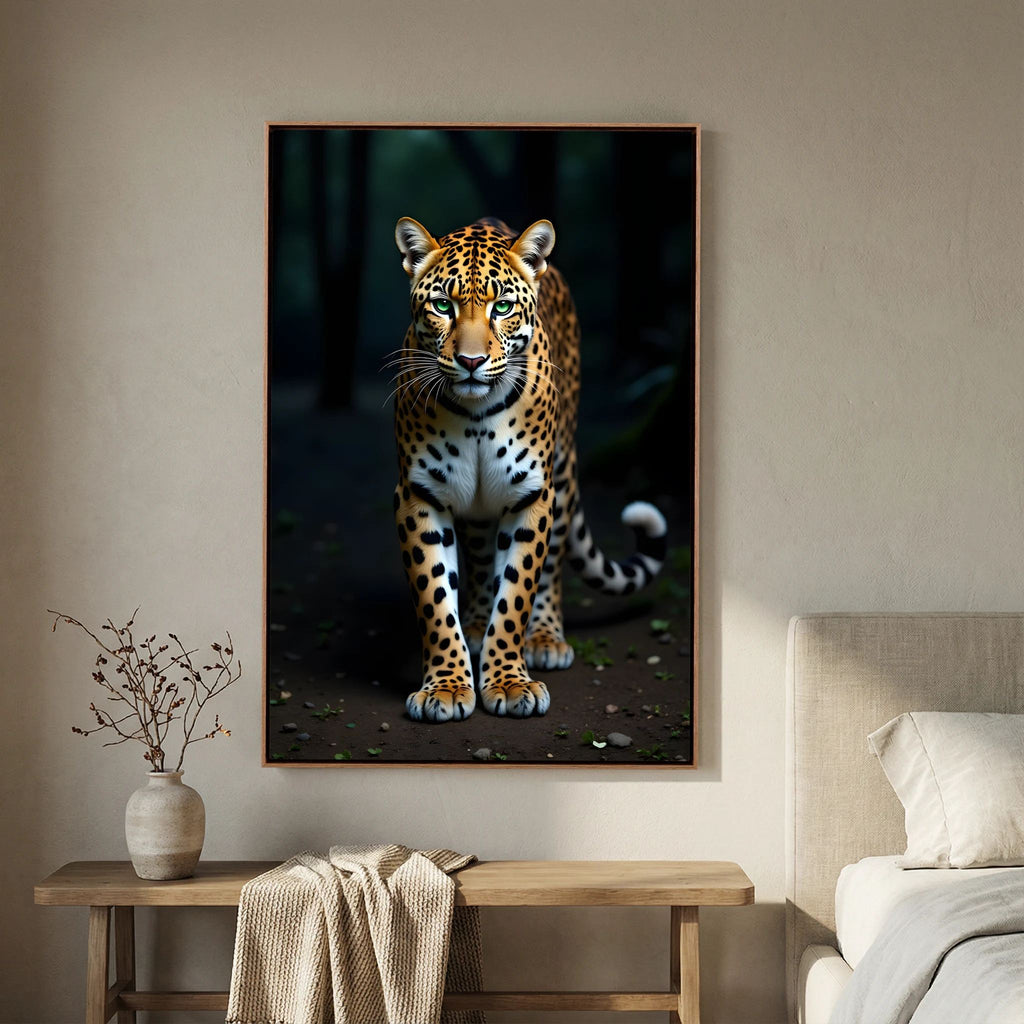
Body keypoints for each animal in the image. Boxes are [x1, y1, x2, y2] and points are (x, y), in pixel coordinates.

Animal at [390, 216, 667, 722]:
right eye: (442, 305)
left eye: (502, 307)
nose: (472, 362)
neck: (476, 415)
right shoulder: (419, 495)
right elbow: (435, 598)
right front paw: (447, 686)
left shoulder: (531, 496)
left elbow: (517, 592)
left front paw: (509, 682)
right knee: (480, 560)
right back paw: (475, 625)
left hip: (562, 474)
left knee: (551, 565)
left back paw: (544, 638)